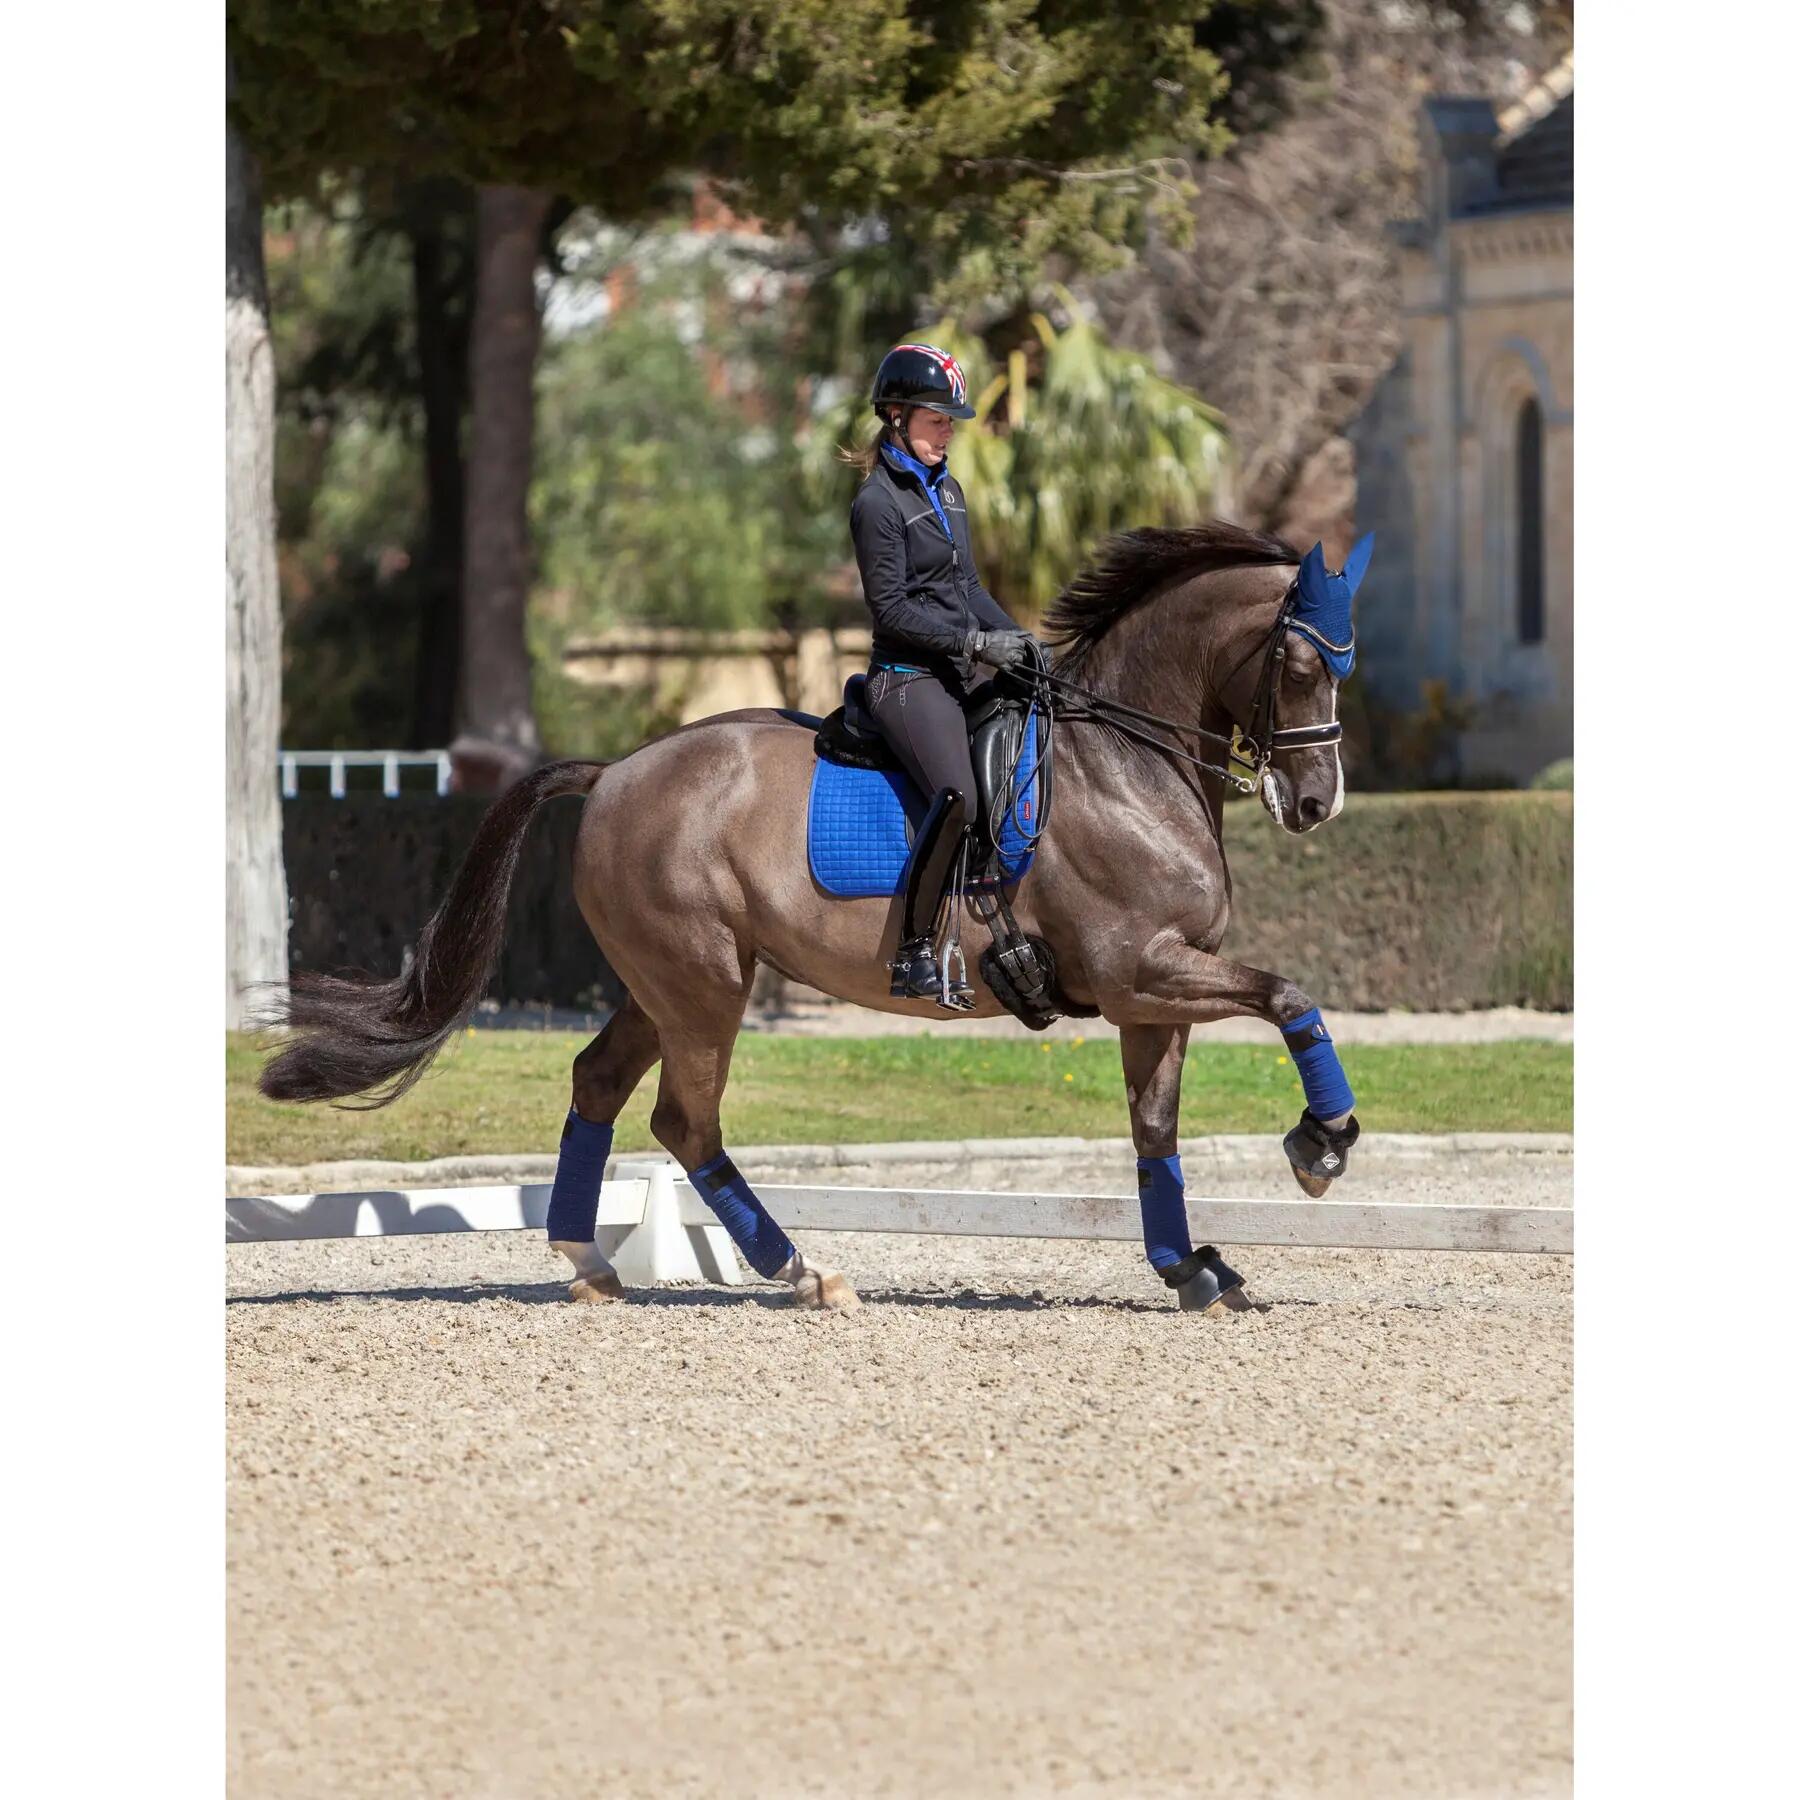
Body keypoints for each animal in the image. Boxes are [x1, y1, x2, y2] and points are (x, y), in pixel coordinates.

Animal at [260, 521, 1370, 1315]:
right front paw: (1321, 1144)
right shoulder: (1139, 967)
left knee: (600, 1083)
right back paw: (802, 1273)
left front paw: (1190, 1267)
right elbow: (1290, 998)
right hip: (707, 984)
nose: (1318, 803)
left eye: (1344, 664)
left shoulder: (1153, 994)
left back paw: (589, 1260)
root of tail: (615, 770)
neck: (1127, 765)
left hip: (665, 983)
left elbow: (1155, 1130)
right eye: (1299, 664)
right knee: (684, 1120)